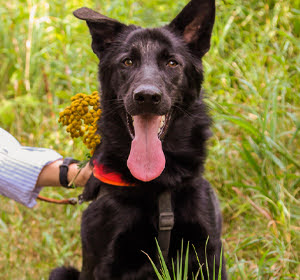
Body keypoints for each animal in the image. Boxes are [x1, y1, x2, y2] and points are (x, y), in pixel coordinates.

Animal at [49, 0, 227, 278]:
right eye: (127, 62)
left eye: (172, 63)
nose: (147, 96)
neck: (159, 184)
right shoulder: (104, 264)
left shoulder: (209, 256)